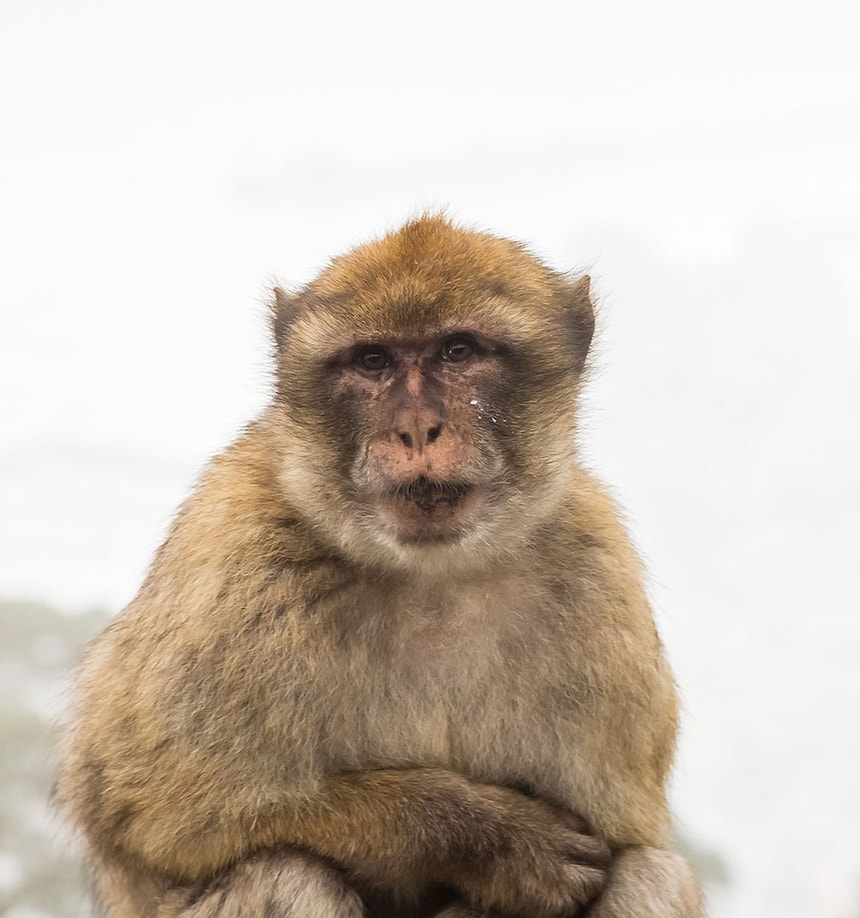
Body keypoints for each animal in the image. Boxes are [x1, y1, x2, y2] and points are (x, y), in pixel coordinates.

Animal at [55, 217, 704, 918]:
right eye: (374, 361)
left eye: (457, 351)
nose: (417, 429)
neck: (434, 574)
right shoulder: (232, 568)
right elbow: (165, 815)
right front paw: (492, 838)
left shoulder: (600, 583)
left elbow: (630, 845)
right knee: (283, 872)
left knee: (649, 873)